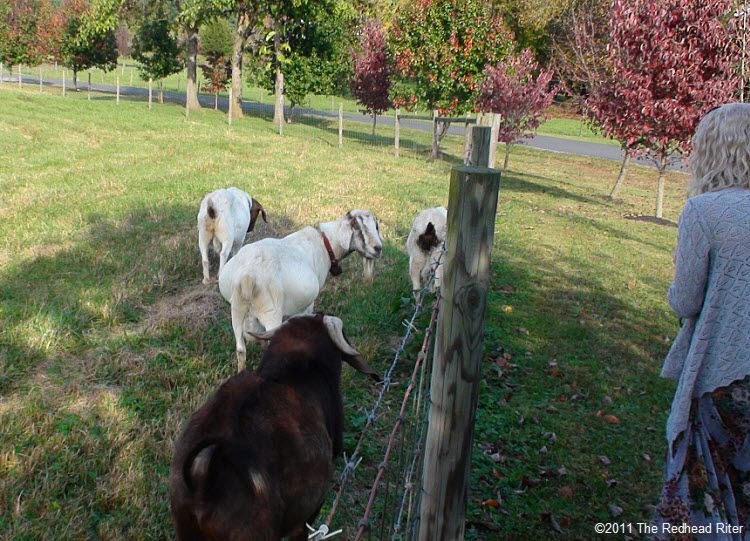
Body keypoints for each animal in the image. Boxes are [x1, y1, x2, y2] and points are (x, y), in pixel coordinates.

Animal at [216, 208, 382, 372]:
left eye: (376, 226)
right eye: (358, 228)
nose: (378, 249)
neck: (326, 244)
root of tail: (247, 276)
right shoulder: (307, 305)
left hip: (237, 310)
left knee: (240, 350)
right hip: (271, 312)